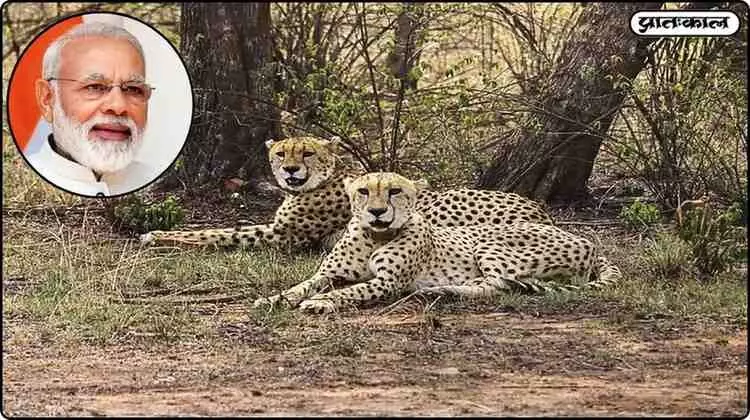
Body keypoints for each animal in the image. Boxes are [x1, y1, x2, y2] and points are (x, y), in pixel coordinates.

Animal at [140, 136, 554, 251]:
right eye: (281, 154)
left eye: (307, 153)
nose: (291, 170)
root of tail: (539, 209)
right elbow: (229, 227)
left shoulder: (282, 236)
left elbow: (219, 233)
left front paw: (157, 236)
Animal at [253, 172, 621, 314]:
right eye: (363, 191)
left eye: (395, 191)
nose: (376, 212)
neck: (375, 235)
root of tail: (586, 240)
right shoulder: (328, 273)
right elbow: (302, 285)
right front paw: (273, 299)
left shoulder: (387, 282)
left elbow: (350, 291)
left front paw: (321, 302)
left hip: (488, 243)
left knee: (497, 285)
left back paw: (441, 290)